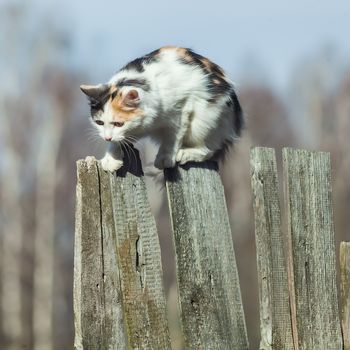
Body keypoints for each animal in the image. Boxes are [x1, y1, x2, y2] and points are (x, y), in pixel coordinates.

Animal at [80, 46, 243, 172]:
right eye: (99, 123)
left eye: (119, 124)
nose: (106, 138)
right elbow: (119, 139)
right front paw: (111, 159)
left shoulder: (182, 107)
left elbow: (173, 136)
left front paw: (166, 157)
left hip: (205, 118)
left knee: (208, 150)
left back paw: (186, 153)